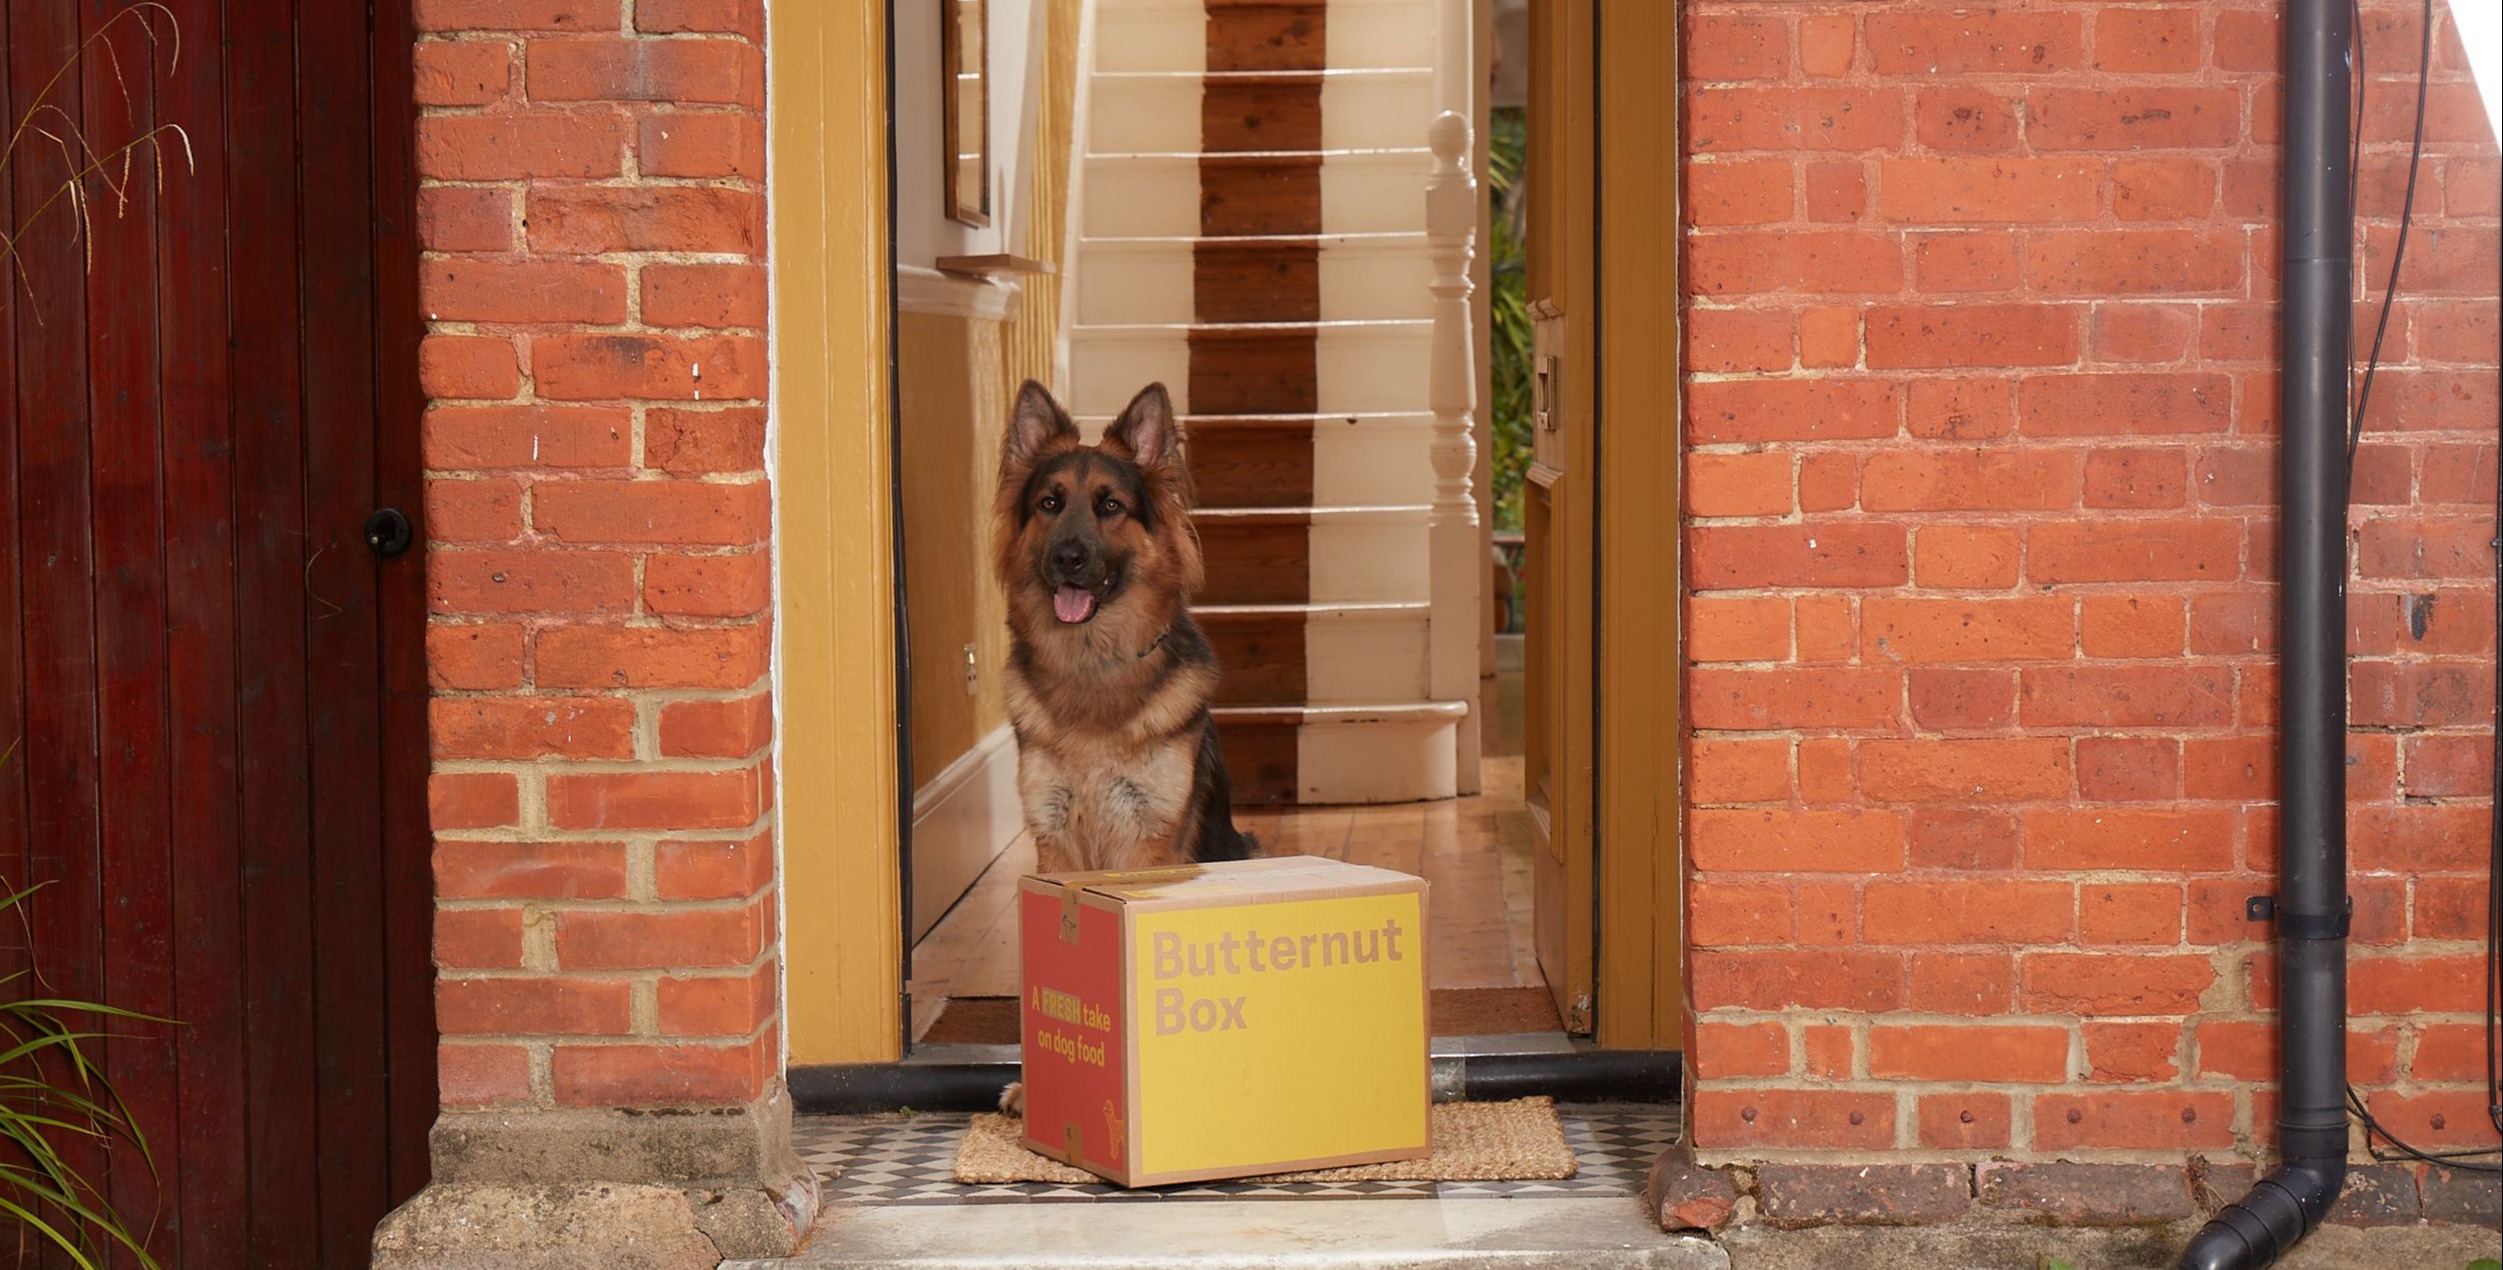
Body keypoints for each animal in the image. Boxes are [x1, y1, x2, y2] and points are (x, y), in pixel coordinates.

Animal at [991, 373, 1261, 881]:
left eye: (1111, 505)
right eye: (1049, 503)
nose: (1067, 558)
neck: (1093, 660)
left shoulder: (1147, 837)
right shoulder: (1053, 832)